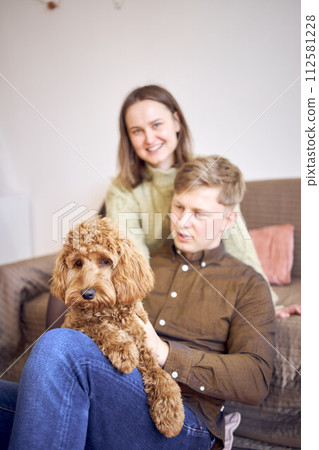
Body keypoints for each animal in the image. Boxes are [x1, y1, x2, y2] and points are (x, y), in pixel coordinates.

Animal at [50, 216, 185, 438]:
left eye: (105, 261)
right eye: (78, 263)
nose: (86, 294)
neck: (106, 310)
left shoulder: (143, 343)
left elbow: (160, 374)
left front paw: (170, 413)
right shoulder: (76, 324)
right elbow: (98, 327)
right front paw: (123, 351)